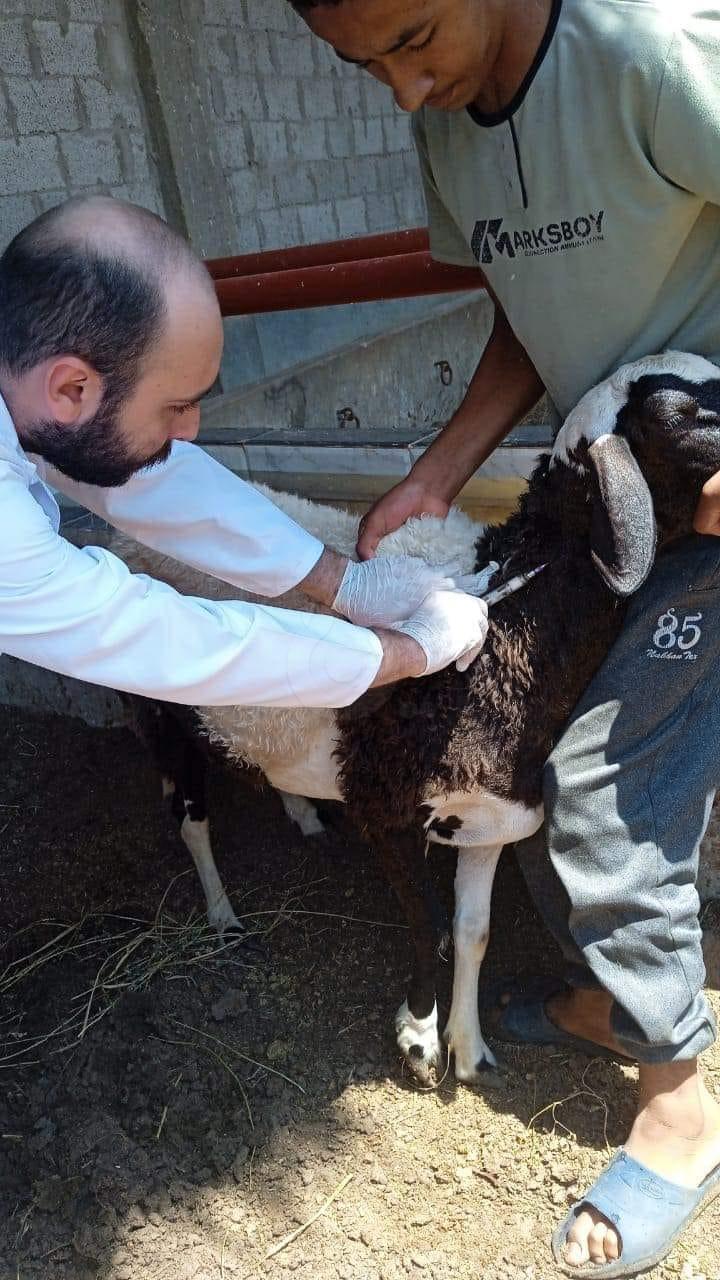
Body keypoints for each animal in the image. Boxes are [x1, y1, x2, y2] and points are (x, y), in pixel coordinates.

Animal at [94, 353, 717, 1090]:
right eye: (684, 414)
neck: (508, 618)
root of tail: (118, 530)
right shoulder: (383, 804)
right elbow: (425, 925)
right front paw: (419, 1038)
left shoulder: (492, 816)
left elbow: (473, 931)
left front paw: (468, 1047)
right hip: (165, 711)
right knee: (190, 818)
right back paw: (222, 917)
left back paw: (301, 813)